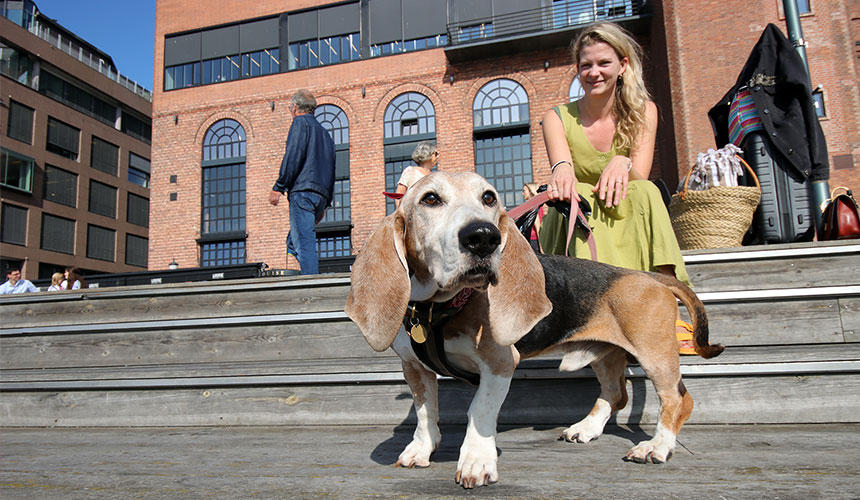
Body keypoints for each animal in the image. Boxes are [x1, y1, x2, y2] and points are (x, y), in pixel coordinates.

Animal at [346, 172, 724, 488]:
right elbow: (426, 413)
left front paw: (476, 461)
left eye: (488, 197)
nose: (483, 237)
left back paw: (656, 446)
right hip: (604, 354)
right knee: (616, 394)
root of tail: (648, 276)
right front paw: (422, 449)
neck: (438, 309)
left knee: (677, 399)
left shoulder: (499, 364)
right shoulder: (414, 368)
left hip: (654, 354)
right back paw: (586, 429)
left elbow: (478, 411)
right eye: (430, 199)